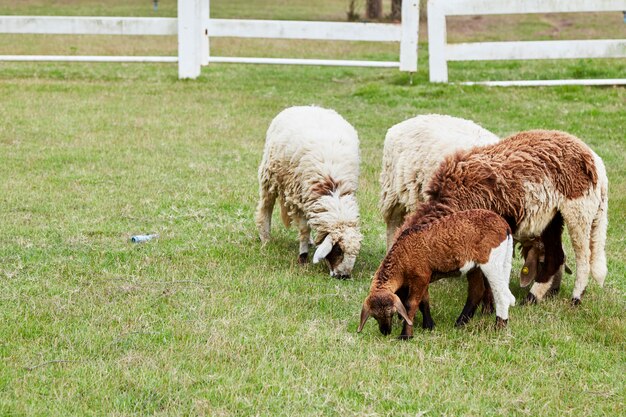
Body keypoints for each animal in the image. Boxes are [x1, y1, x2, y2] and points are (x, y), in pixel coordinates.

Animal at [254, 105, 360, 278]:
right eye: (338, 250)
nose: (343, 276)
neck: (333, 189)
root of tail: (308, 106)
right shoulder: (297, 198)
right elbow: (304, 229)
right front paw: (302, 257)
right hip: (269, 175)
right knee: (265, 207)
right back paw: (265, 237)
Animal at [356, 208, 512, 338]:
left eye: (392, 312)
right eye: (374, 316)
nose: (385, 332)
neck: (401, 257)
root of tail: (504, 225)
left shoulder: (420, 277)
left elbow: (411, 304)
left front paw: (406, 335)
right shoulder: (423, 277)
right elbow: (424, 302)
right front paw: (429, 325)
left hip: (491, 263)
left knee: (502, 295)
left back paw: (498, 327)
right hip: (477, 266)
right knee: (477, 291)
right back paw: (460, 323)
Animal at [424, 128, 604, 304]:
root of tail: (595, 161)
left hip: (579, 210)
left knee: (583, 258)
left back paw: (575, 298)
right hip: (552, 217)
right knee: (556, 257)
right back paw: (532, 298)